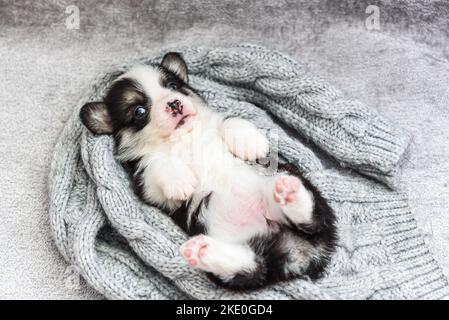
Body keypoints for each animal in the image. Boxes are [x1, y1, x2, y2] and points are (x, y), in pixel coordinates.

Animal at [79, 52, 336, 290]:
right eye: (139, 111)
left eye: (173, 86)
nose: (174, 104)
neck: (185, 137)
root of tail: (297, 253)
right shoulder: (147, 183)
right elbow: (159, 163)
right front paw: (180, 182)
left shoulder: (218, 122)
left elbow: (230, 121)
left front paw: (251, 143)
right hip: (239, 260)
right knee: (250, 268)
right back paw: (204, 250)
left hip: (298, 189)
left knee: (313, 218)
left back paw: (289, 193)